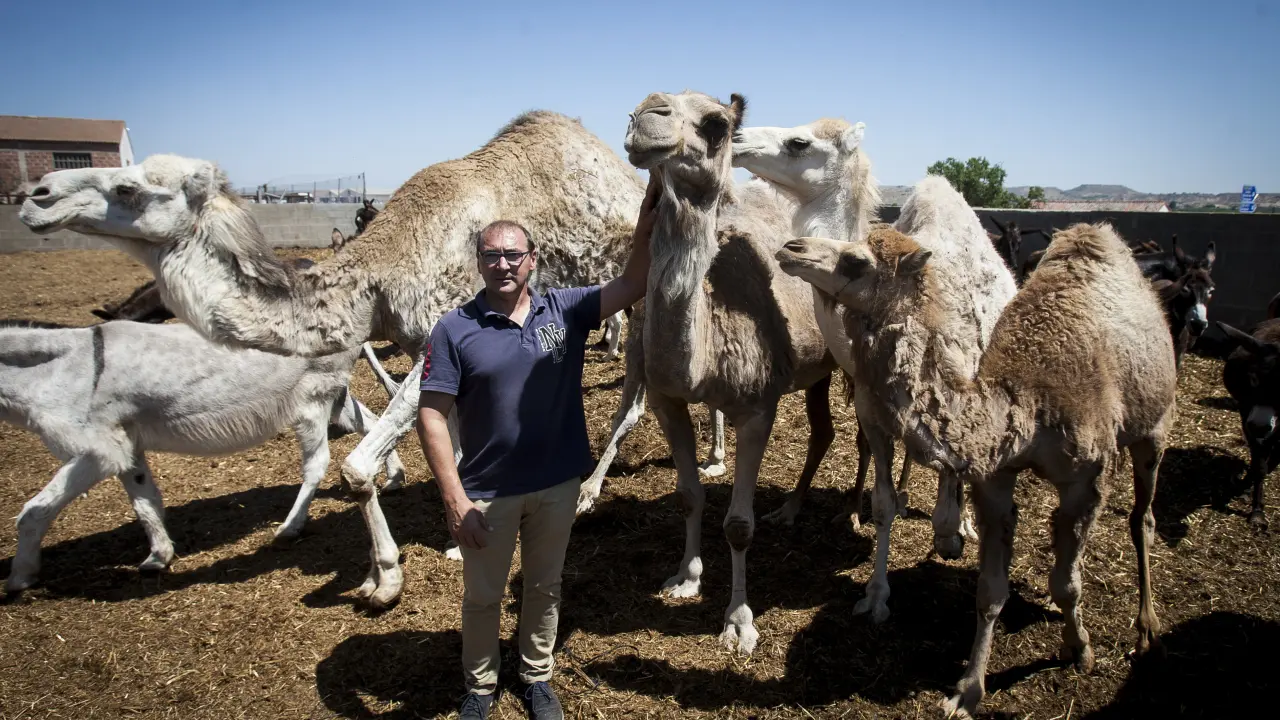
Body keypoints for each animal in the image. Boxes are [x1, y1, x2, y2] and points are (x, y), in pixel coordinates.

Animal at [19, 111, 647, 607]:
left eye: (129, 188)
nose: (37, 195)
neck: (381, 273)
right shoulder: (429, 347)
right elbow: (453, 444)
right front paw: (453, 536)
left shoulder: (434, 332)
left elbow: (356, 469)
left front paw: (385, 581)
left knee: (634, 400)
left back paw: (591, 492)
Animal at [622, 90, 838, 654]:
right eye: (633, 111)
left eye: (717, 124)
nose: (647, 115)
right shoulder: (667, 399)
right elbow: (688, 495)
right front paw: (686, 577)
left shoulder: (758, 408)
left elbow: (739, 524)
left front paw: (739, 622)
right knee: (825, 429)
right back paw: (795, 509)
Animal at [777, 223, 1176, 717]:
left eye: (856, 261)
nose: (791, 247)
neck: (1026, 406)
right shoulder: (996, 478)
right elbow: (990, 590)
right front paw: (968, 689)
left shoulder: (1088, 480)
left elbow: (1065, 582)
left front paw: (1080, 649)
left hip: (1155, 428)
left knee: (1143, 519)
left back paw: (1147, 629)